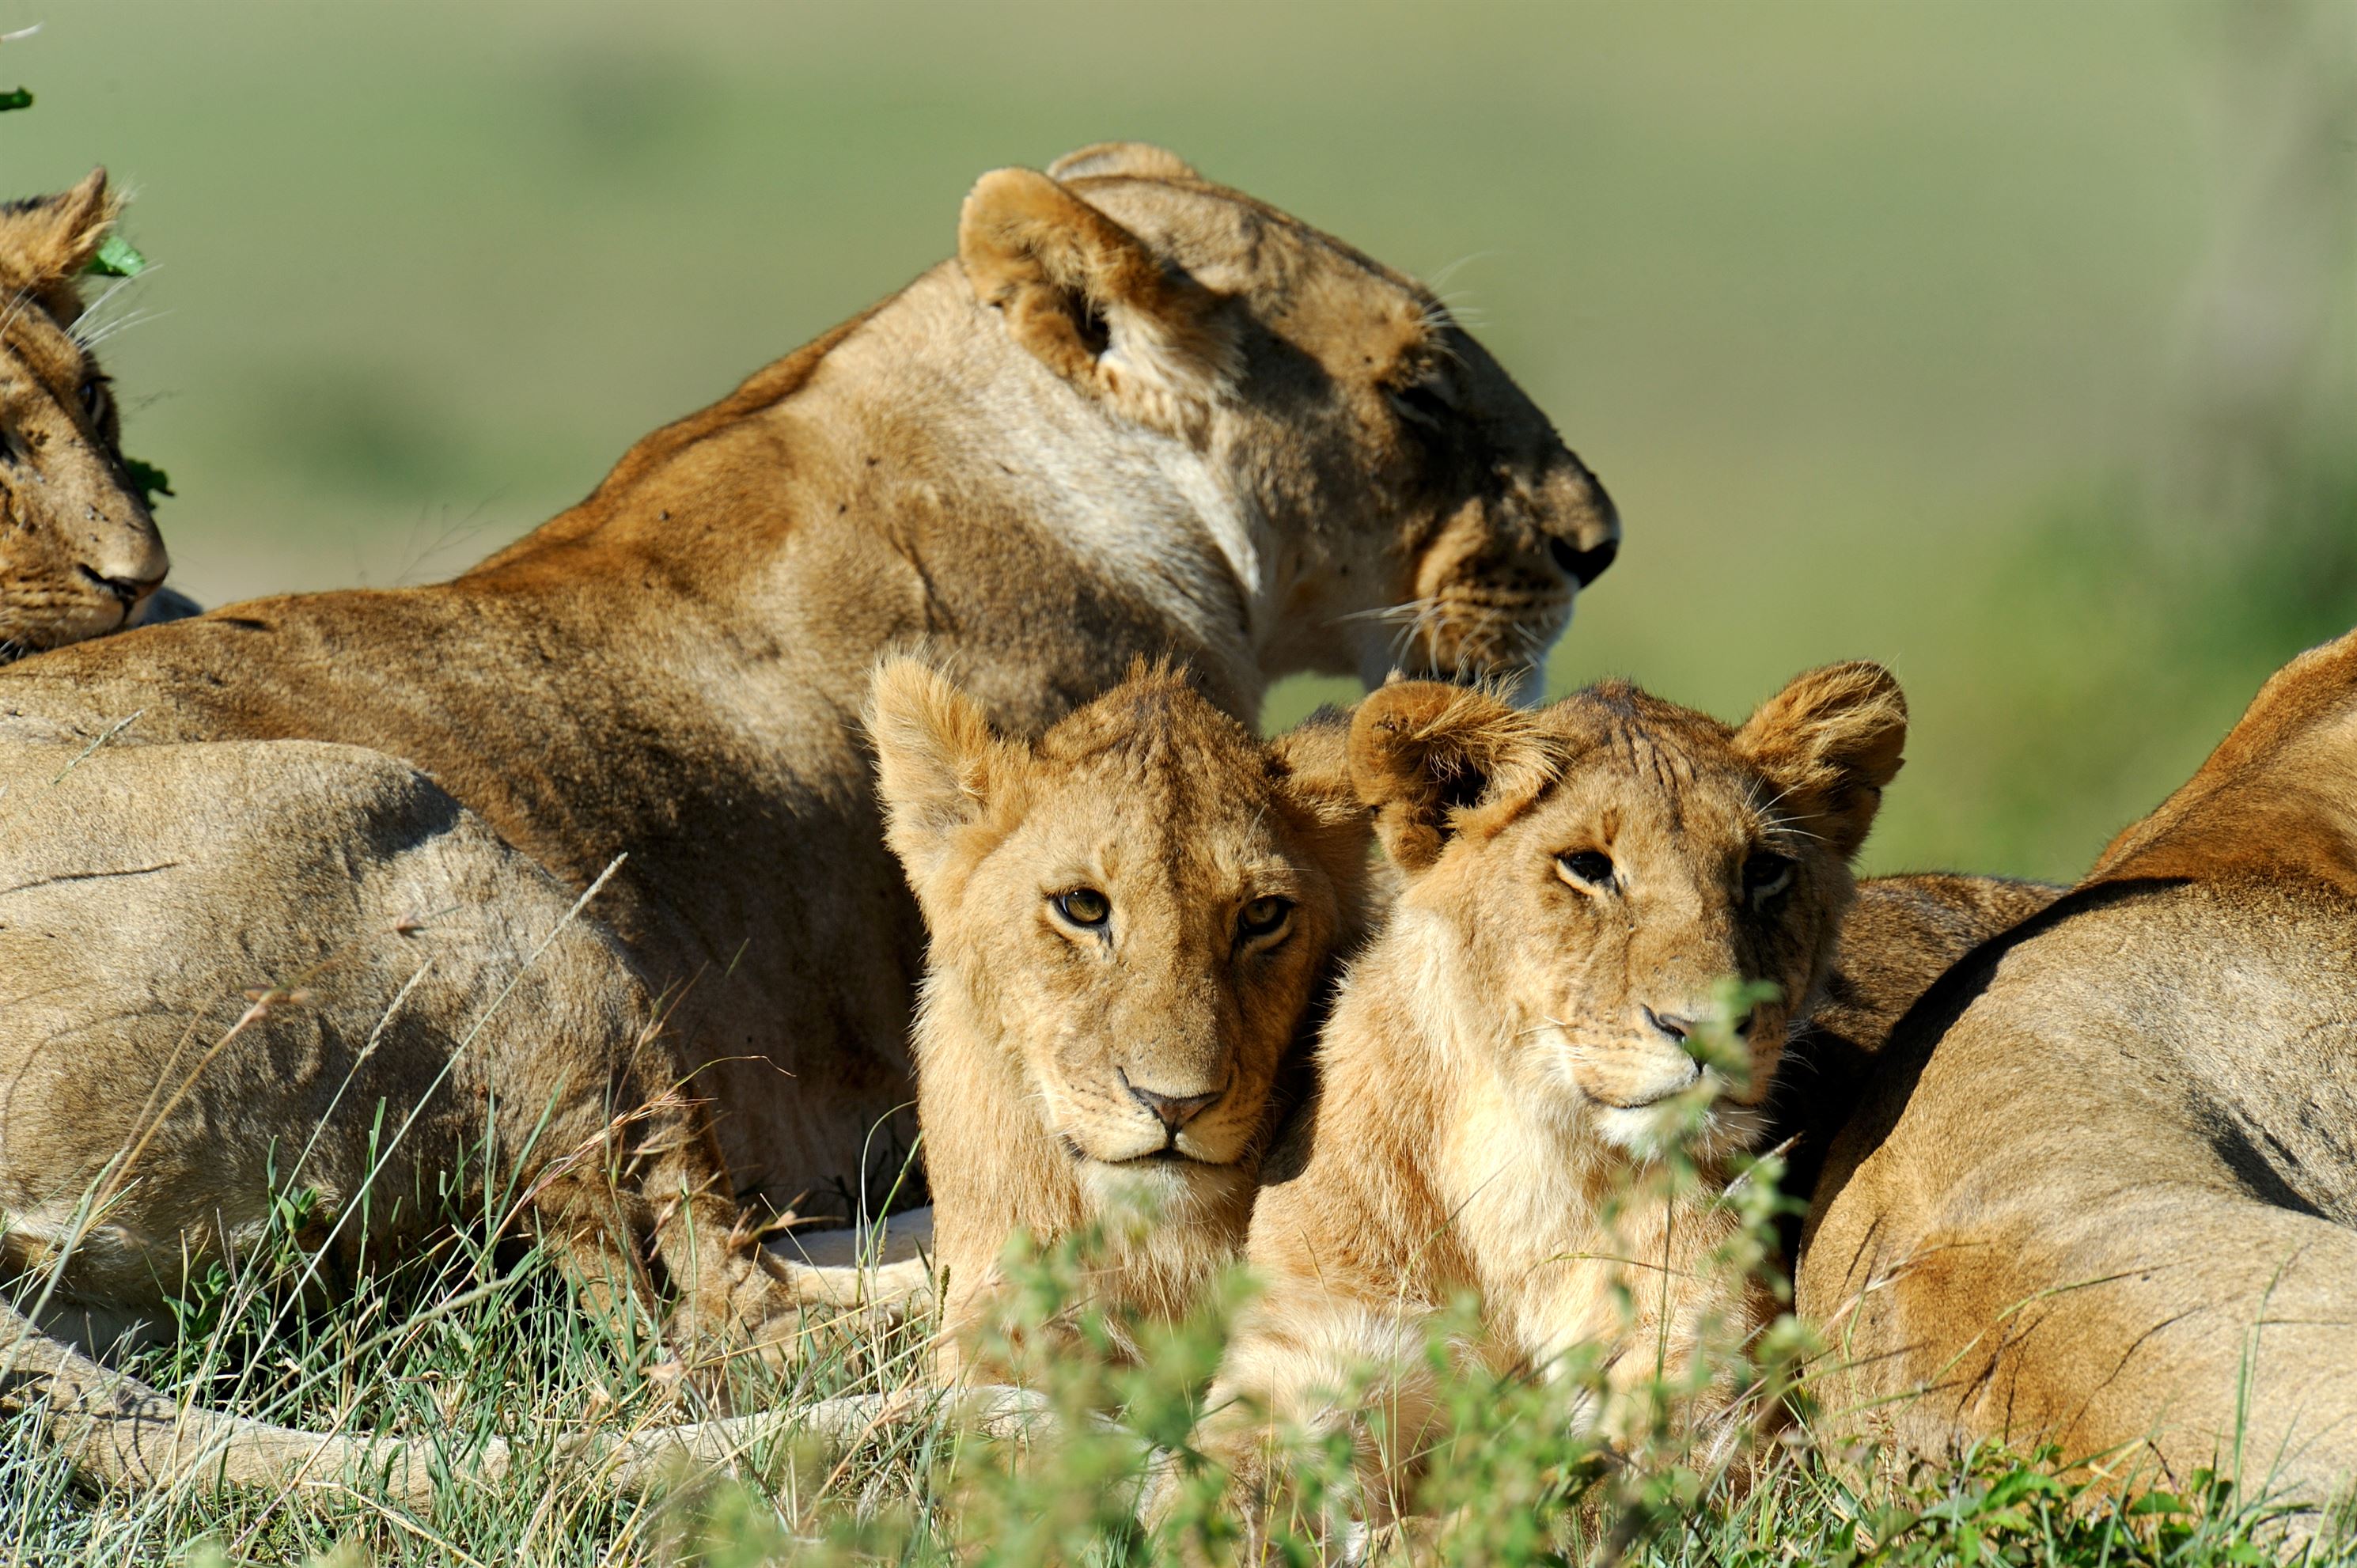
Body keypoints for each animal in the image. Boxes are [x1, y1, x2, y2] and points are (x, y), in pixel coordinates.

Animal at [1187, 664, 1909, 1529]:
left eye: (1763, 869)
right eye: (1587, 866)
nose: (1711, 1028)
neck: (1524, 1157)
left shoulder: (1712, 1389)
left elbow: (1557, 1508)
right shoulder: (1304, 1358)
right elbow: (1208, 1504)